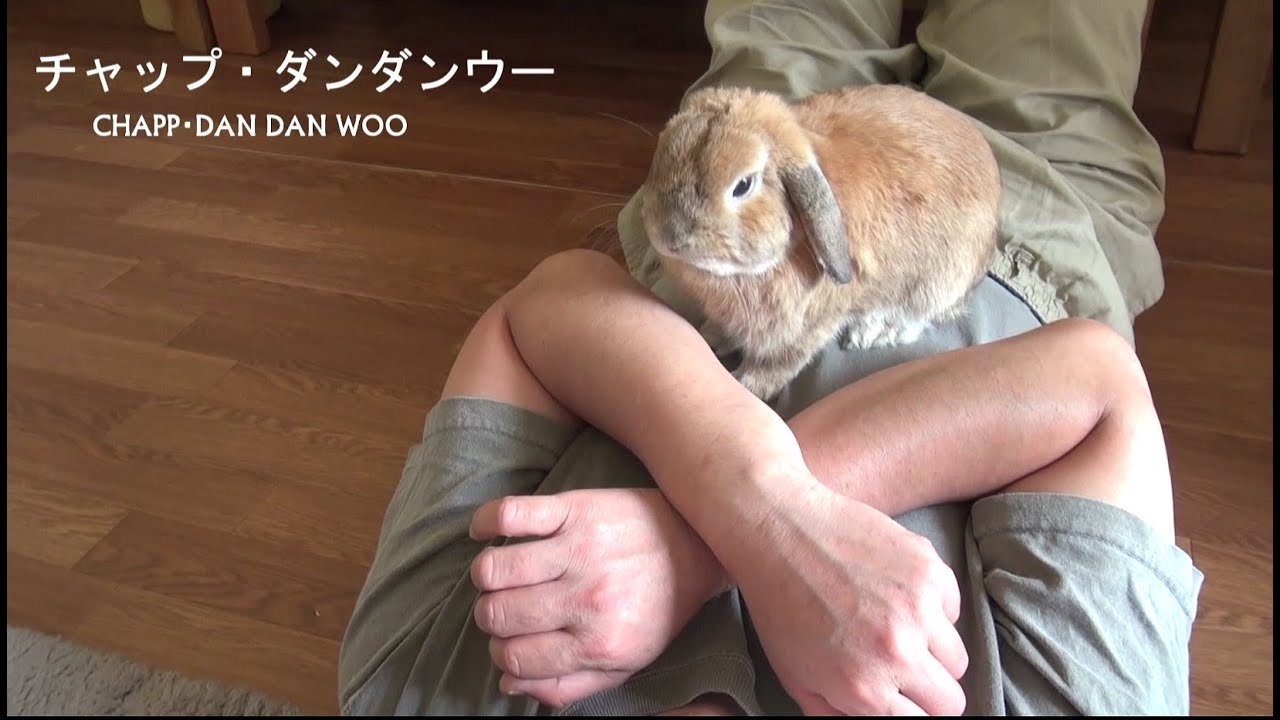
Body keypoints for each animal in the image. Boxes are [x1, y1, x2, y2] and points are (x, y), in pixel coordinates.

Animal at [637, 83, 1003, 401]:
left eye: (742, 185)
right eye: (662, 154)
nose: (669, 235)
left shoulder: (806, 331)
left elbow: (775, 367)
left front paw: (746, 386)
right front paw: (711, 336)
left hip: (936, 285)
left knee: (916, 318)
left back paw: (873, 332)